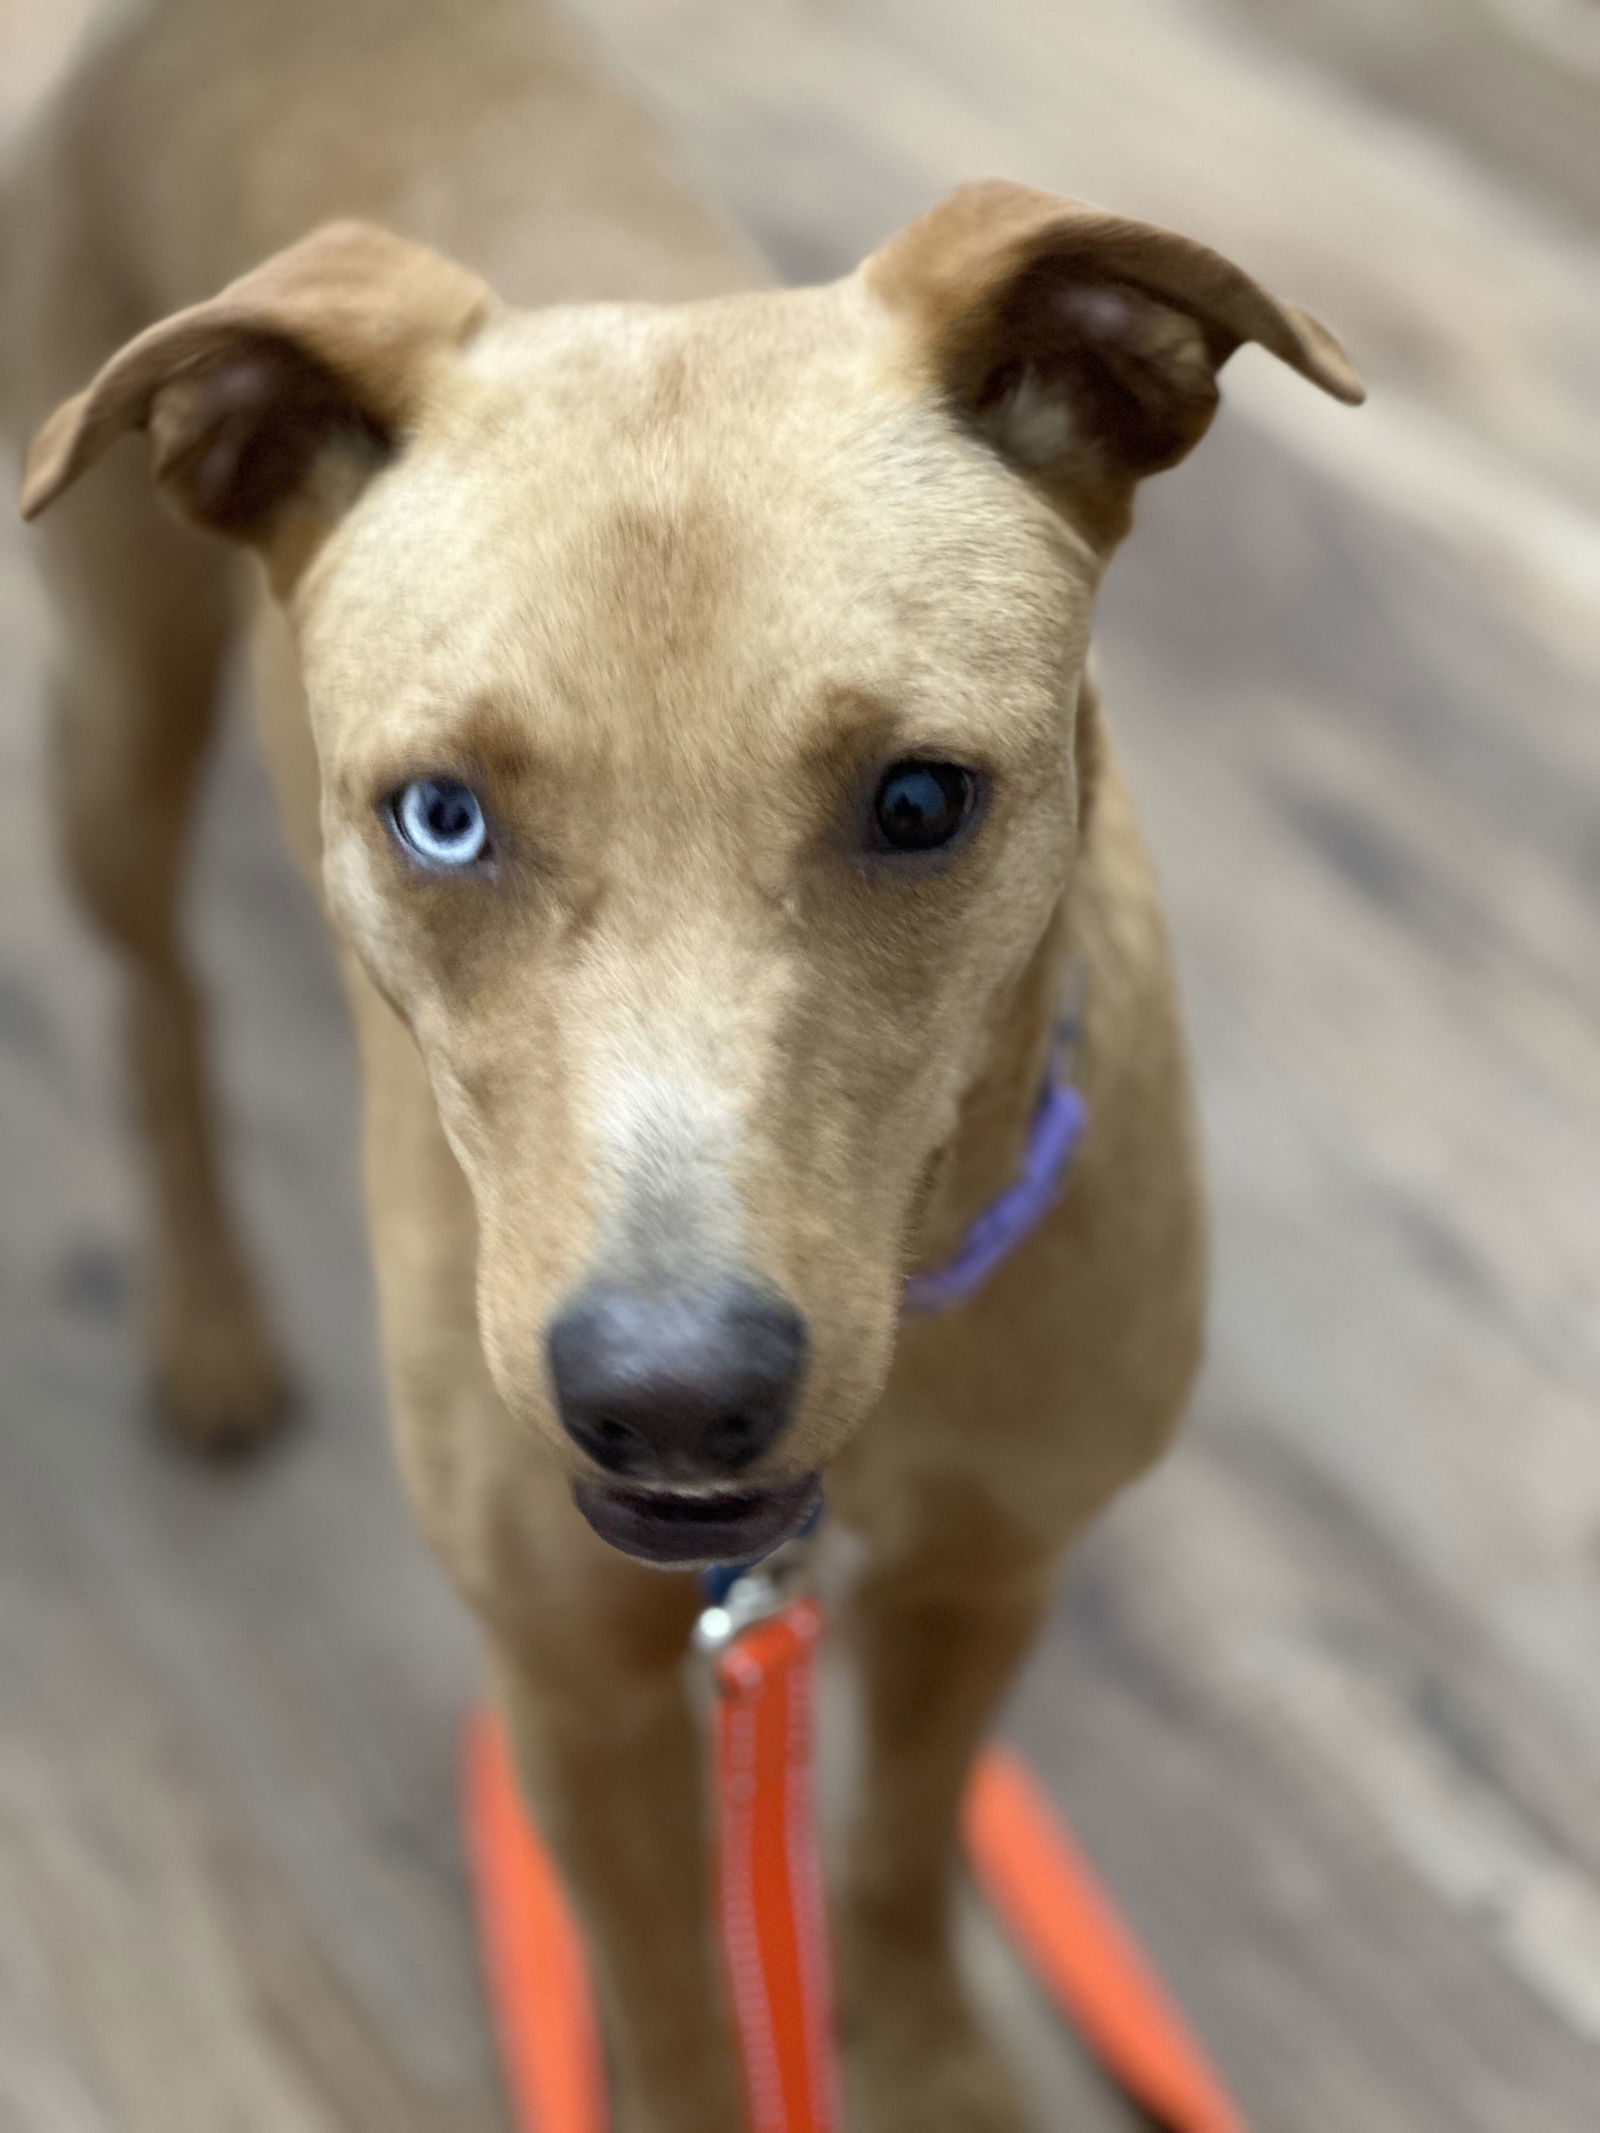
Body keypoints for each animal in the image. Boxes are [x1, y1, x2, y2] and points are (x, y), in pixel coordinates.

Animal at [6, 8, 1365, 2124]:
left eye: (921, 798)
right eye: (443, 817)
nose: (667, 1400)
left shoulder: (989, 1574)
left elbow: (895, 1856)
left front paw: (930, 2057)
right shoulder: (574, 1693)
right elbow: (673, 2005)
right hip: (116, 725)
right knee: (158, 1015)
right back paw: (210, 1321)